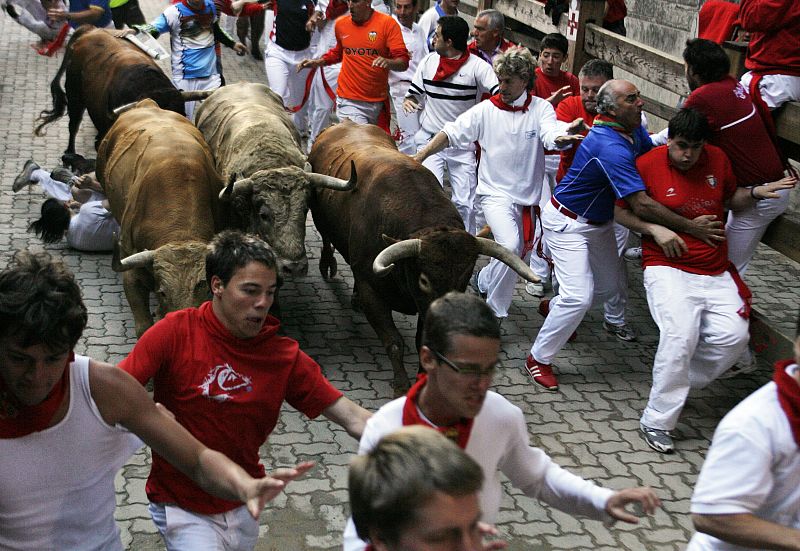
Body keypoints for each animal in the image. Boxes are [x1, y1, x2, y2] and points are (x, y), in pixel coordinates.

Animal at [310, 123, 540, 394]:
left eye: (464, 278)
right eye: (424, 280)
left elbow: (423, 342)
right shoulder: (372, 292)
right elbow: (394, 341)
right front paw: (401, 384)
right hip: (320, 219)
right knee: (326, 240)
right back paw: (327, 265)